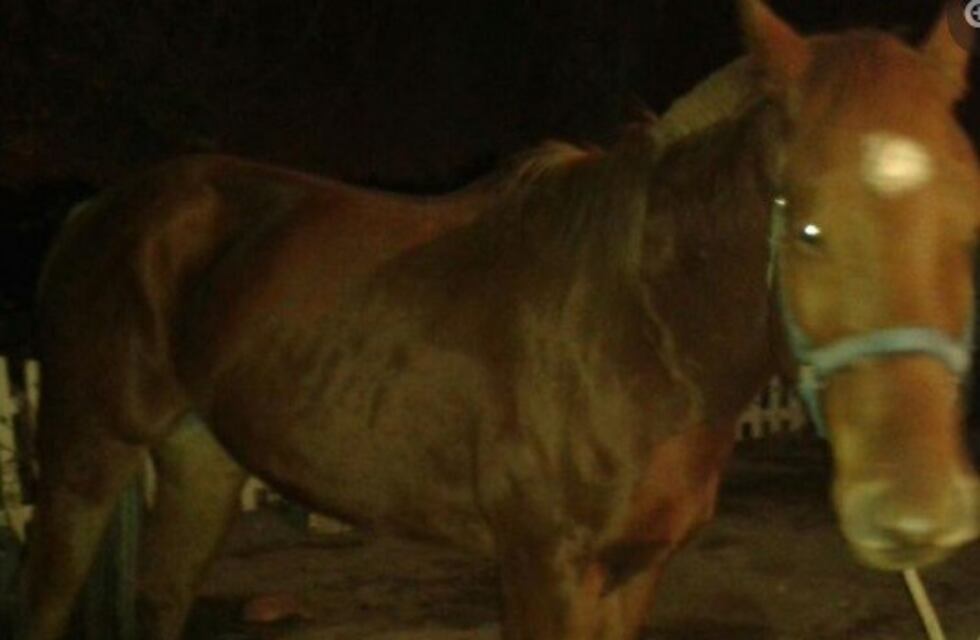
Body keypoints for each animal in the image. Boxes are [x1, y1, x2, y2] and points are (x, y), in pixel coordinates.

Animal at [20, 1, 980, 638]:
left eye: (969, 221)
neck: (635, 331)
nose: (914, 513)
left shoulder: (634, 568)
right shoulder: (545, 570)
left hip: (202, 462)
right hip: (85, 459)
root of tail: (102, 206)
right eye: (807, 225)